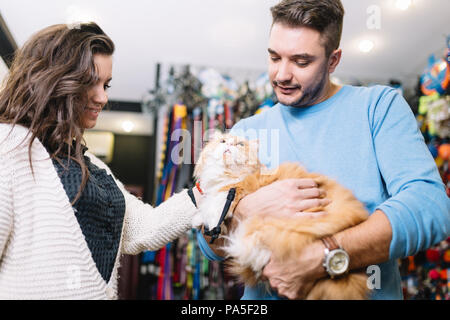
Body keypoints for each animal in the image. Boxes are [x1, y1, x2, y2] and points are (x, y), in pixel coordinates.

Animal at [192, 133, 370, 300]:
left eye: (240, 144)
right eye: (222, 141)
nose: (228, 145)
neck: (226, 174)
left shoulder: (240, 187)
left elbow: (220, 201)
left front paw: (210, 216)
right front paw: (199, 218)